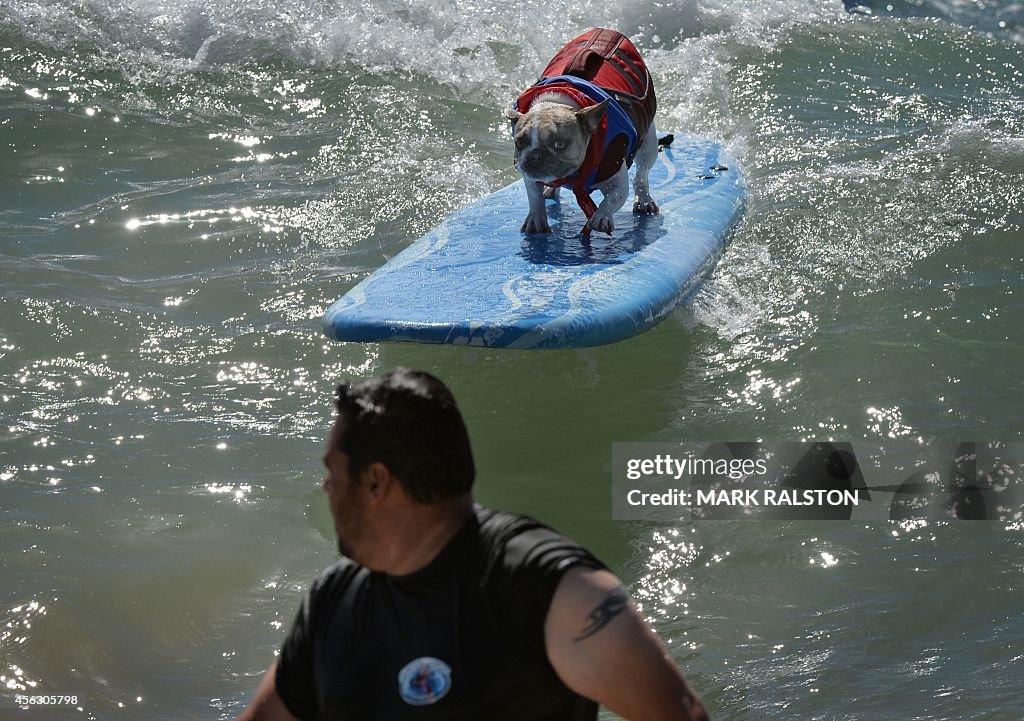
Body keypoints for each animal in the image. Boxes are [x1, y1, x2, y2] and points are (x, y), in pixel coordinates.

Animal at [507, 28, 659, 236]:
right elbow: (534, 196)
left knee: (642, 173)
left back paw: (644, 200)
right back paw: (551, 190)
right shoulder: (529, 177)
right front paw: (536, 219)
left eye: (560, 144)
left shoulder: (615, 177)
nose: (535, 155)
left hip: (649, 142)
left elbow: (613, 197)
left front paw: (602, 216)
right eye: (519, 143)